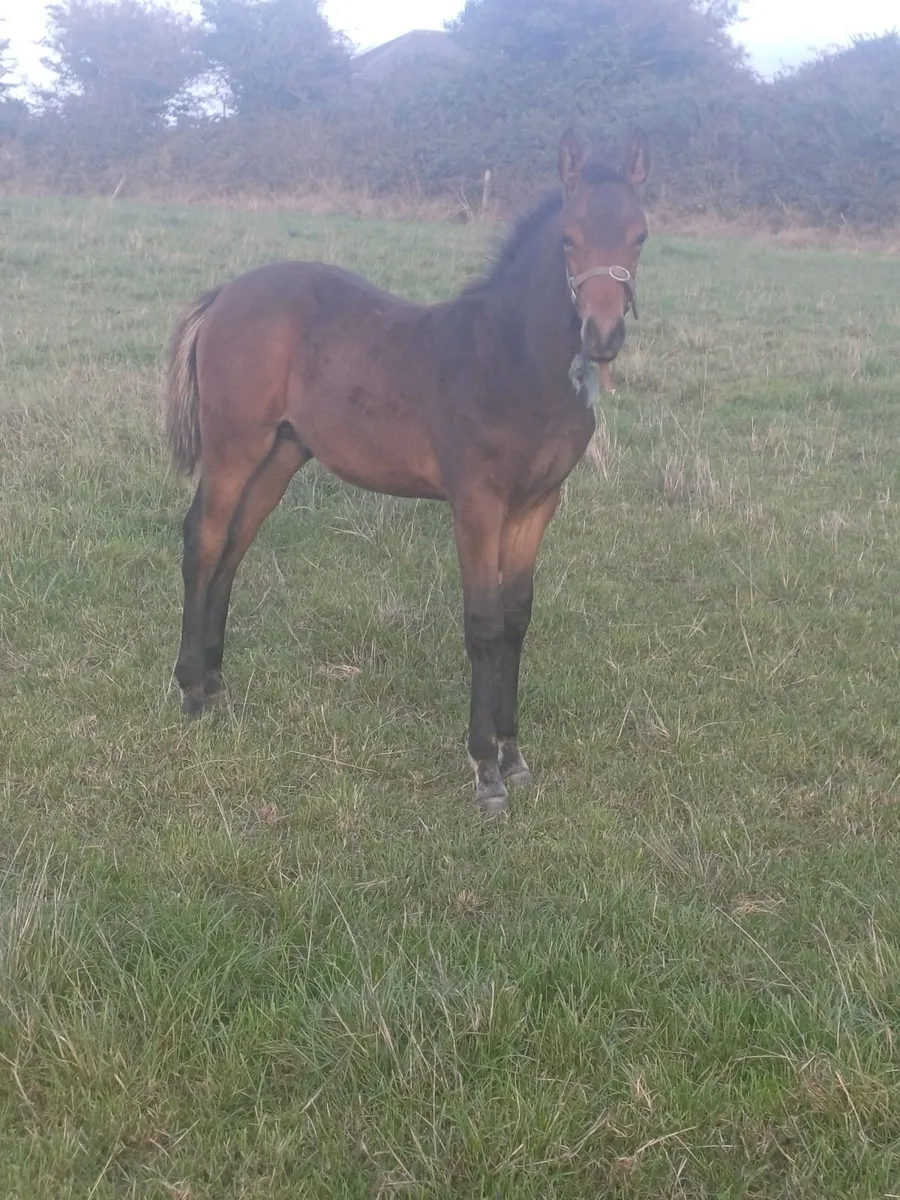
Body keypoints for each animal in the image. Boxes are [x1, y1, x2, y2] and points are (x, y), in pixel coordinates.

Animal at [165, 129, 650, 813]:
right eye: (567, 238)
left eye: (640, 236)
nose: (602, 336)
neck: (512, 359)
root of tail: (225, 295)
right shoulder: (475, 502)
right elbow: (484, 624)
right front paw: (485, 770)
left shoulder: (538, 503)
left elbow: (517, 619)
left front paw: (515, 754)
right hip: (235, 445)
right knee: (204, 541)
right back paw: (188, 688)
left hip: (282, 454)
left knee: (235, 547)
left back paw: (213, 681)